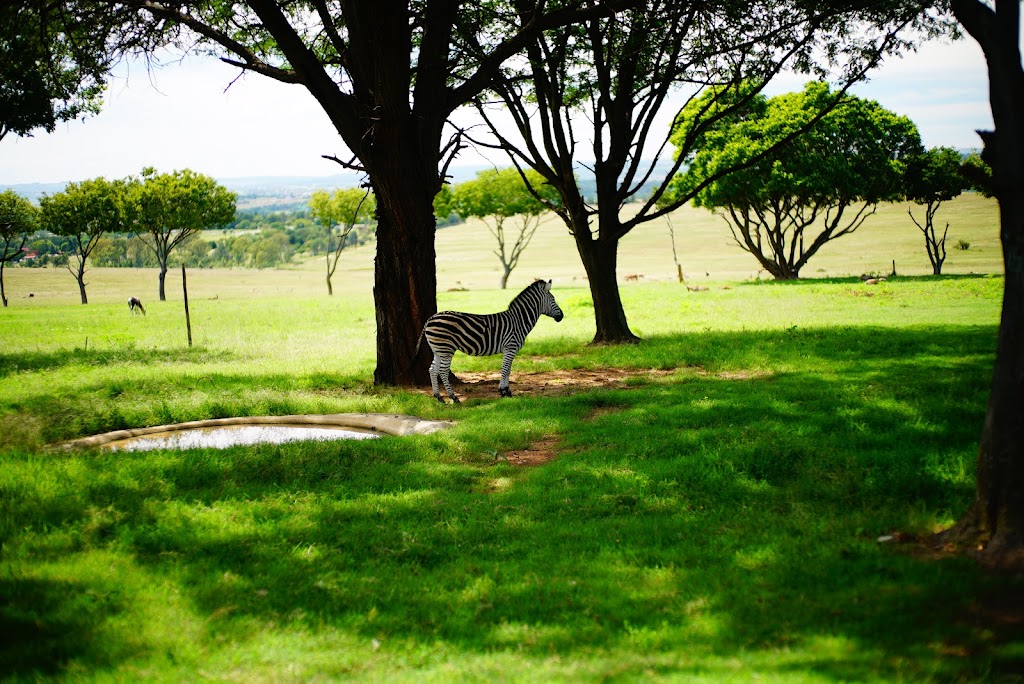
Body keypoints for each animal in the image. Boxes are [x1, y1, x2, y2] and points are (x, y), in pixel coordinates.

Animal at [413, 280, 565, 403]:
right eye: (553, 299)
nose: (562, 316)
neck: (519, 320)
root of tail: (430, 319)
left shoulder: (511, 349)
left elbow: (508, 370)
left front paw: (507, 392)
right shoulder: (510, 347)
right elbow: (505, 369)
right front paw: (503, 392)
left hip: (438, 349)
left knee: (433, 370)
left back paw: (439, 398)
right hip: (446, 349)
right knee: (443, 371)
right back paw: (453, 398)